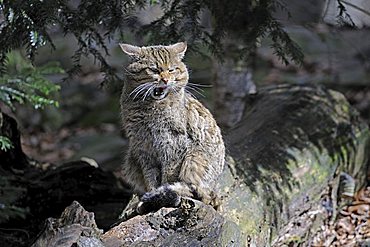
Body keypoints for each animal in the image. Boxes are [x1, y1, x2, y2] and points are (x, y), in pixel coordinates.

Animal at [118, 41, 225, 213]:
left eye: (171, 70)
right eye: (154, 70)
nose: (166, 80)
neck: (149, 107)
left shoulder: (173, 145)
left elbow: (168, 176)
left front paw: (160, 195)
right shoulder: (142, 148)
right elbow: (150, 177)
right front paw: (151, 193)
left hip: (194, 158)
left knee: (199, 192)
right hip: (131, 160)